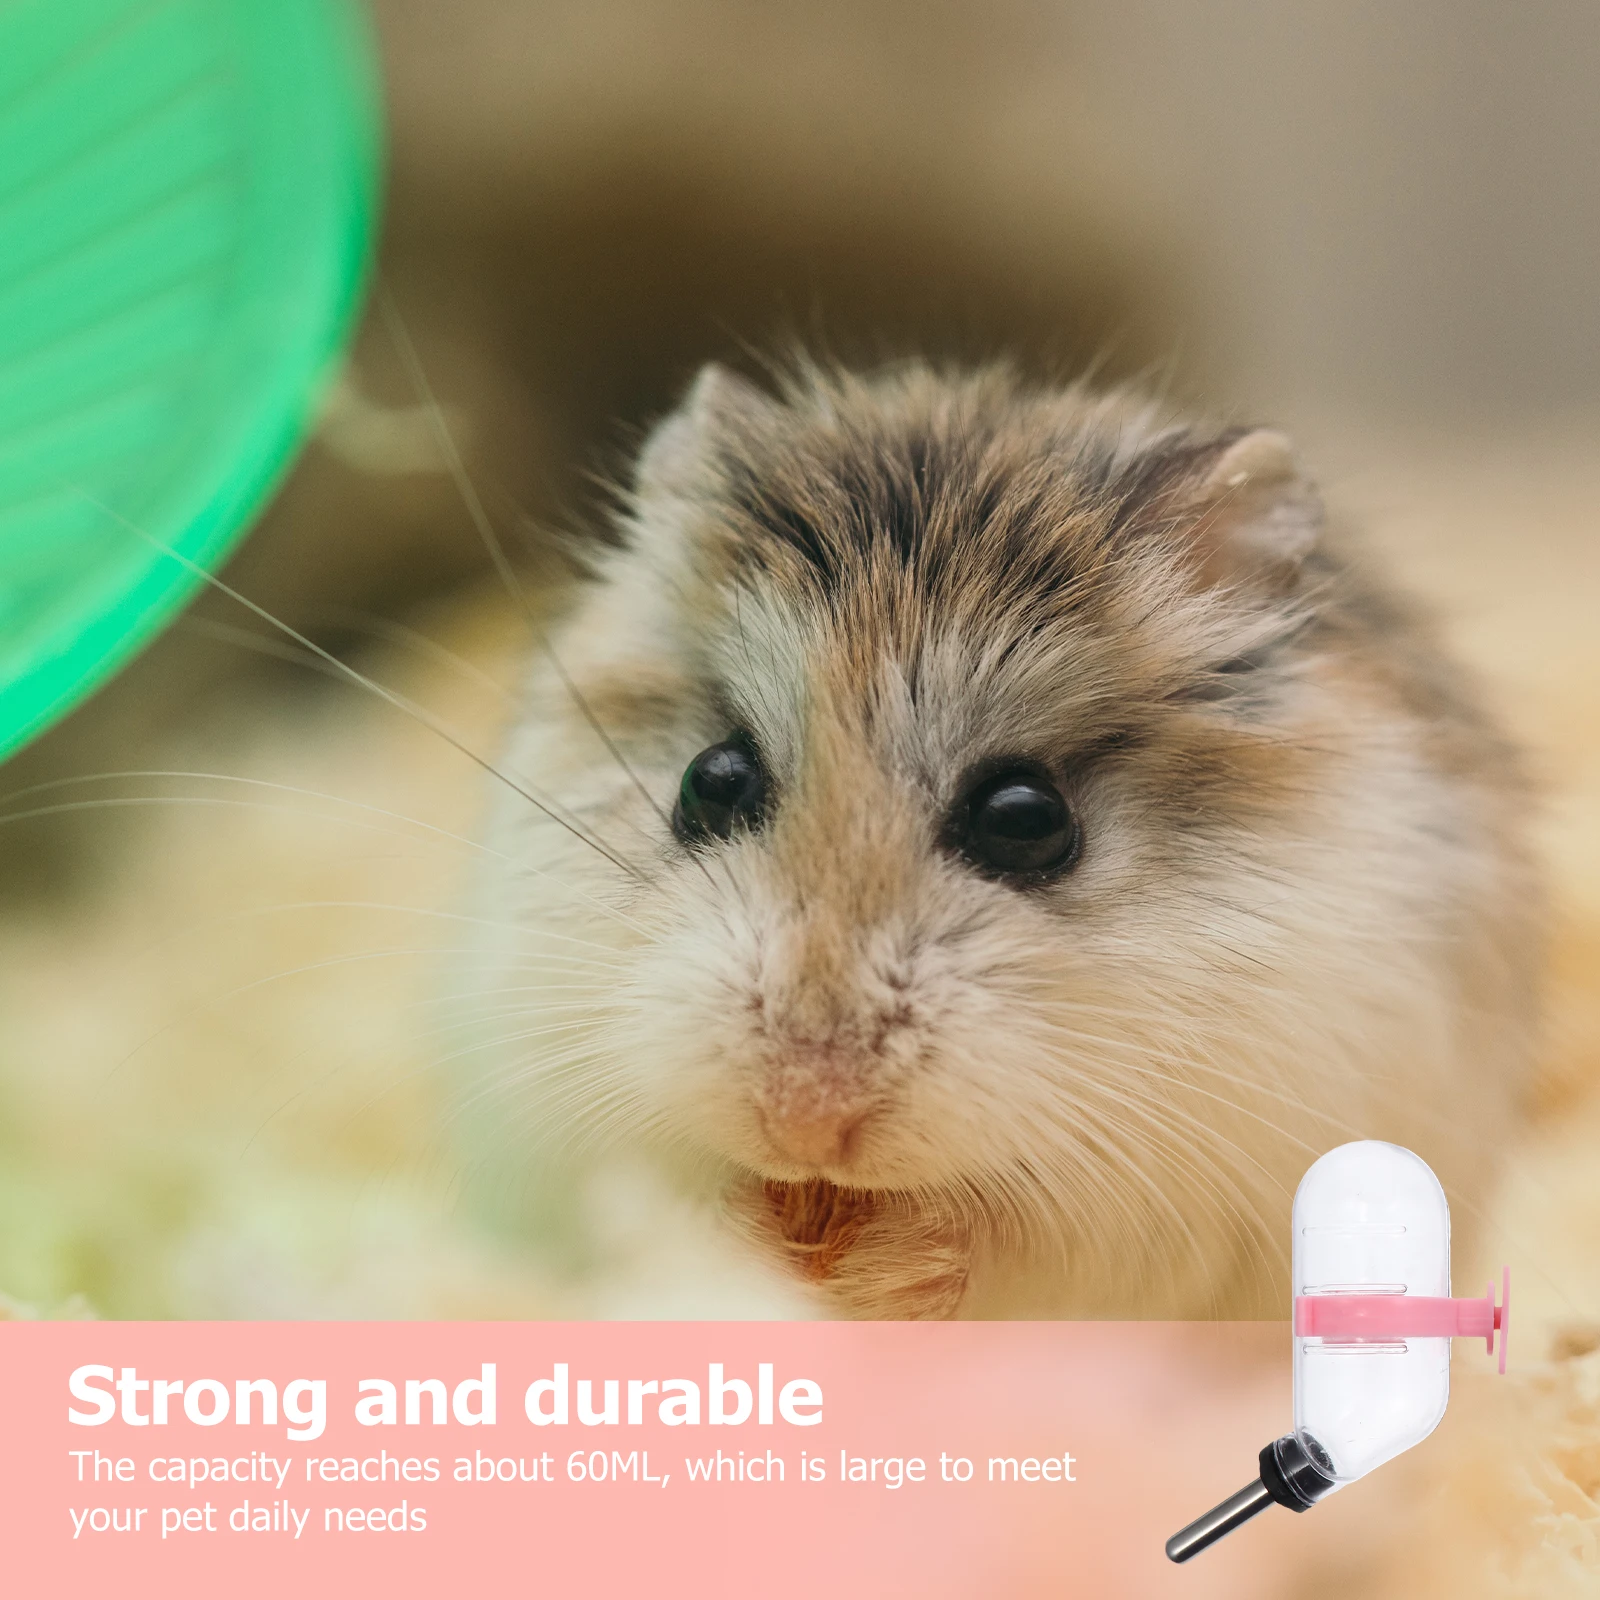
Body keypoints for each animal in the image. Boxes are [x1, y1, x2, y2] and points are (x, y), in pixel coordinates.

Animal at [475, 360, 1542, 1319]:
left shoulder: (1180, 1197)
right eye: (712, 780)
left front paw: (875, 1272)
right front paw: (761, 1240)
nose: (805, 1123)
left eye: (1025, 821)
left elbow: (1006, 1242)